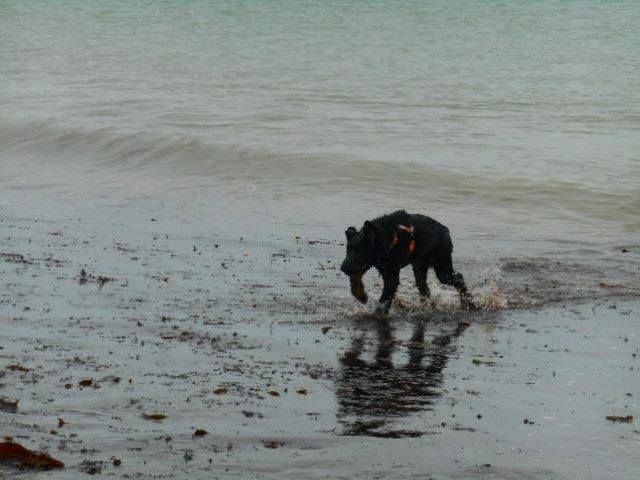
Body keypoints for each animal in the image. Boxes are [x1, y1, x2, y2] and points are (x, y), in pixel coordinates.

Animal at [340, 210, 476, 316]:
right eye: (348, 250)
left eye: (358, 251)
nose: (342, 268)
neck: (386, 238)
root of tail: (445, 231)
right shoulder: (371, 263)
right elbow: (355, 277)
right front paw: (361, 295)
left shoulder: (391, 274)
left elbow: (384, 300)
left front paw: (377, 314)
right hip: (419, 268)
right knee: (425, 289)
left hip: (442, 269)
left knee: (459, 277)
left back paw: (469, 303)